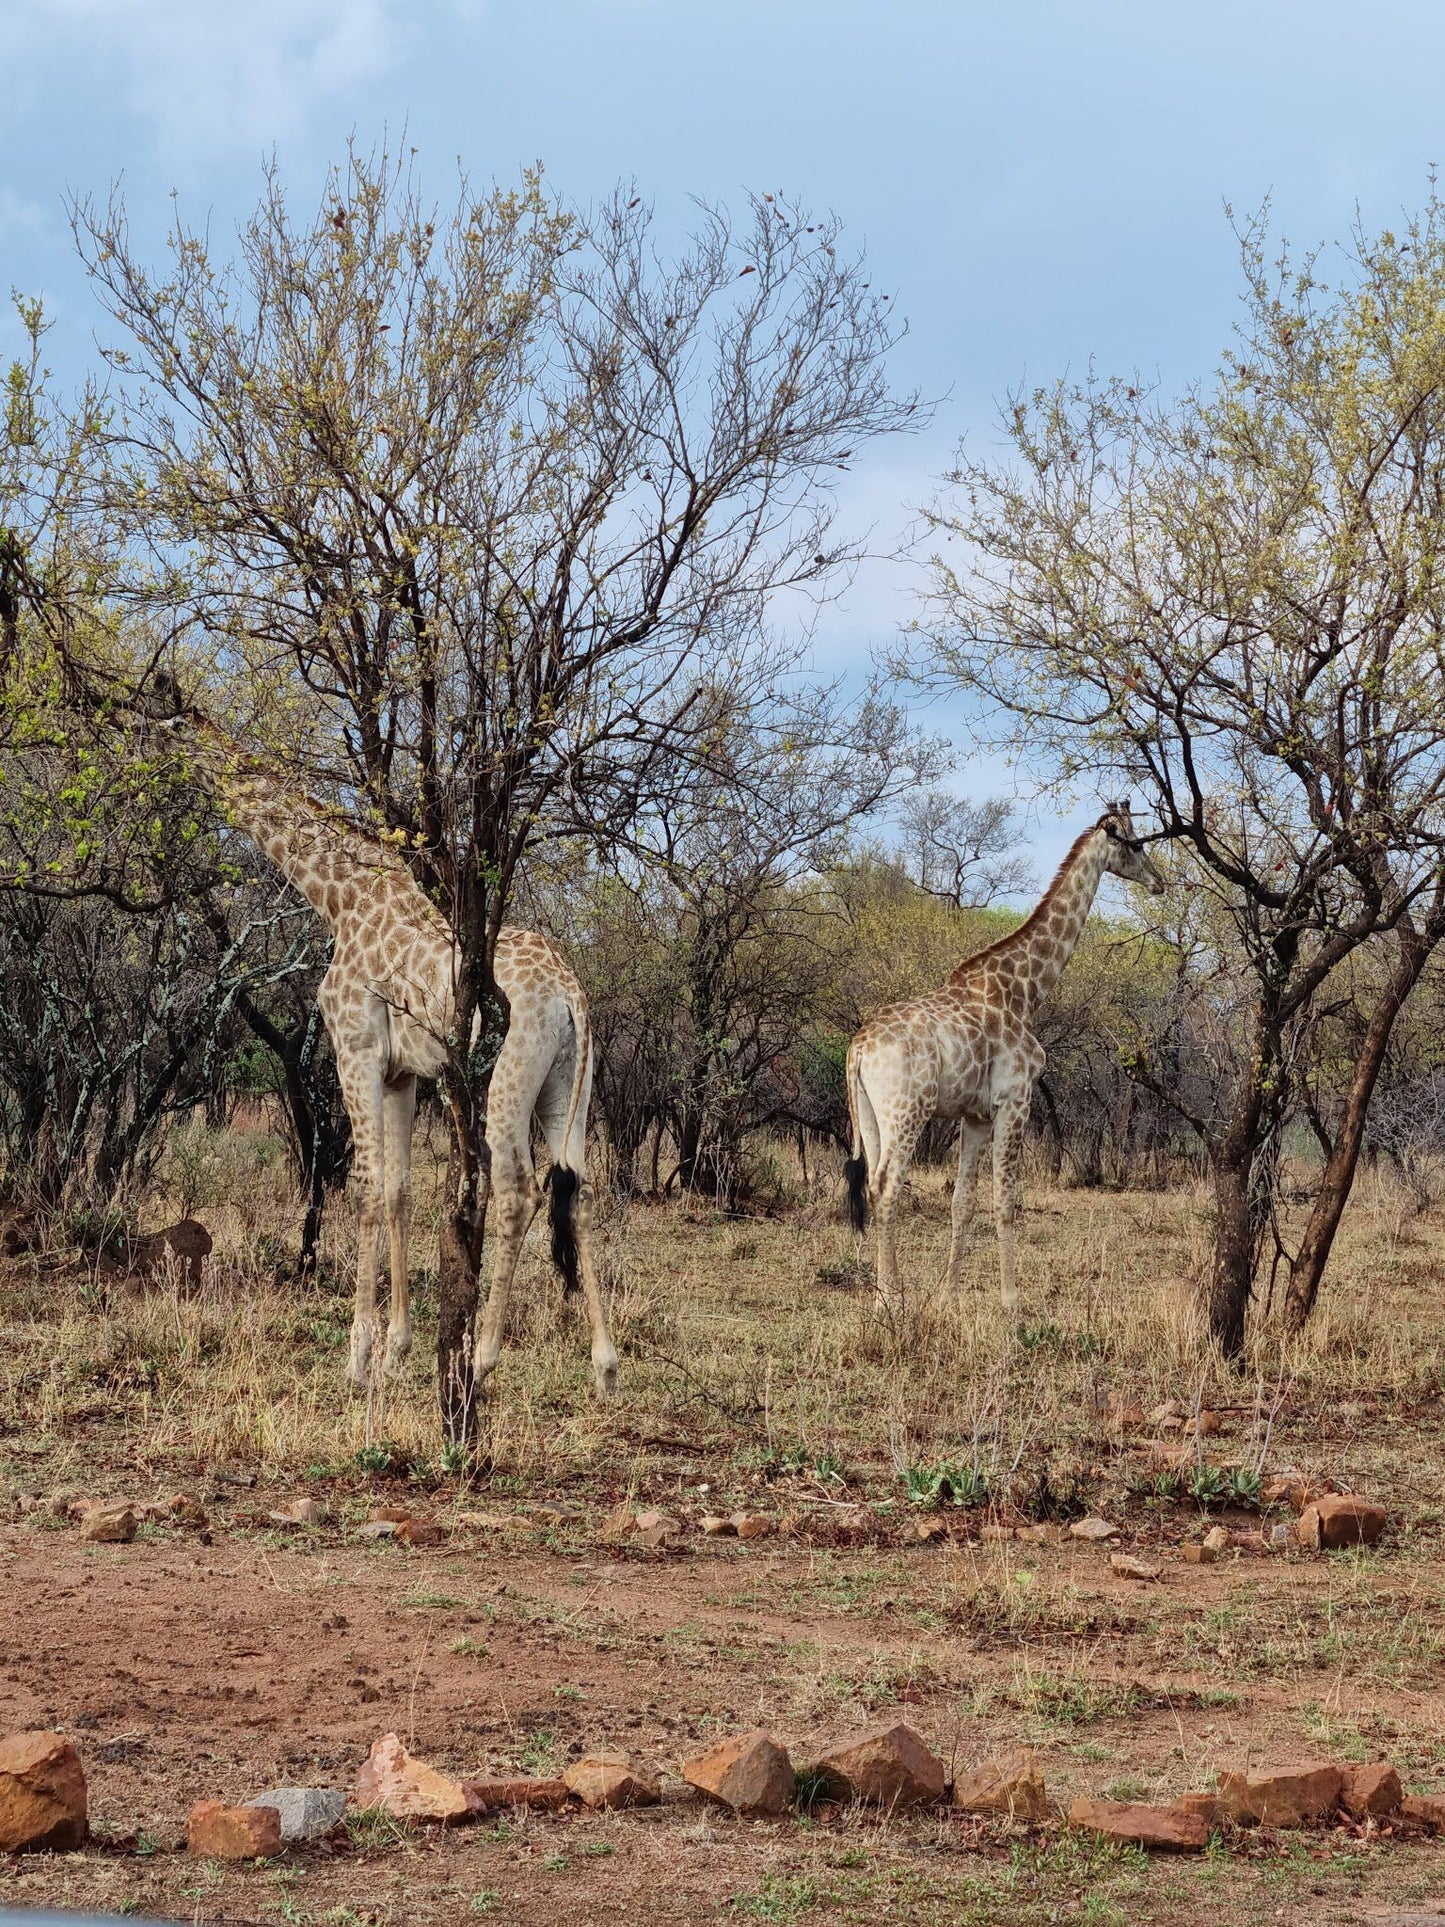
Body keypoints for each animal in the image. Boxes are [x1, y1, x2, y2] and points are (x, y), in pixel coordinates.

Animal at [138, 689, 624, 1402]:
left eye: (161, 718)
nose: (139, 747)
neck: (339, 901)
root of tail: (569, 993)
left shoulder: (355, 1050)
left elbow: (365, 1189)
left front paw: (359, 1356)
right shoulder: (403, 1074)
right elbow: (398, 1192)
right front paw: (396, 1348)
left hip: (506, 1079)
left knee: (517, 1191)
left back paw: (481, 1360)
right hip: (570, 1083)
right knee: (579, 1191)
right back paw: (605, 1364)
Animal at [847, 805, 1163, 1318]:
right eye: (1135, 843)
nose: (1159, 882)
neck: (1026, 991)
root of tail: (857, 1048)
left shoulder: (975, 1114)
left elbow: (963, 1202)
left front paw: (948, 1296)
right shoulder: (1016, 1100)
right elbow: (1006, 1202)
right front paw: (1012, 1301)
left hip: (872, 1114)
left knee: (874, 1186)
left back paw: (879, 1296)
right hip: (908, 1109)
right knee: (889, 1184)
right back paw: (892, 1301)